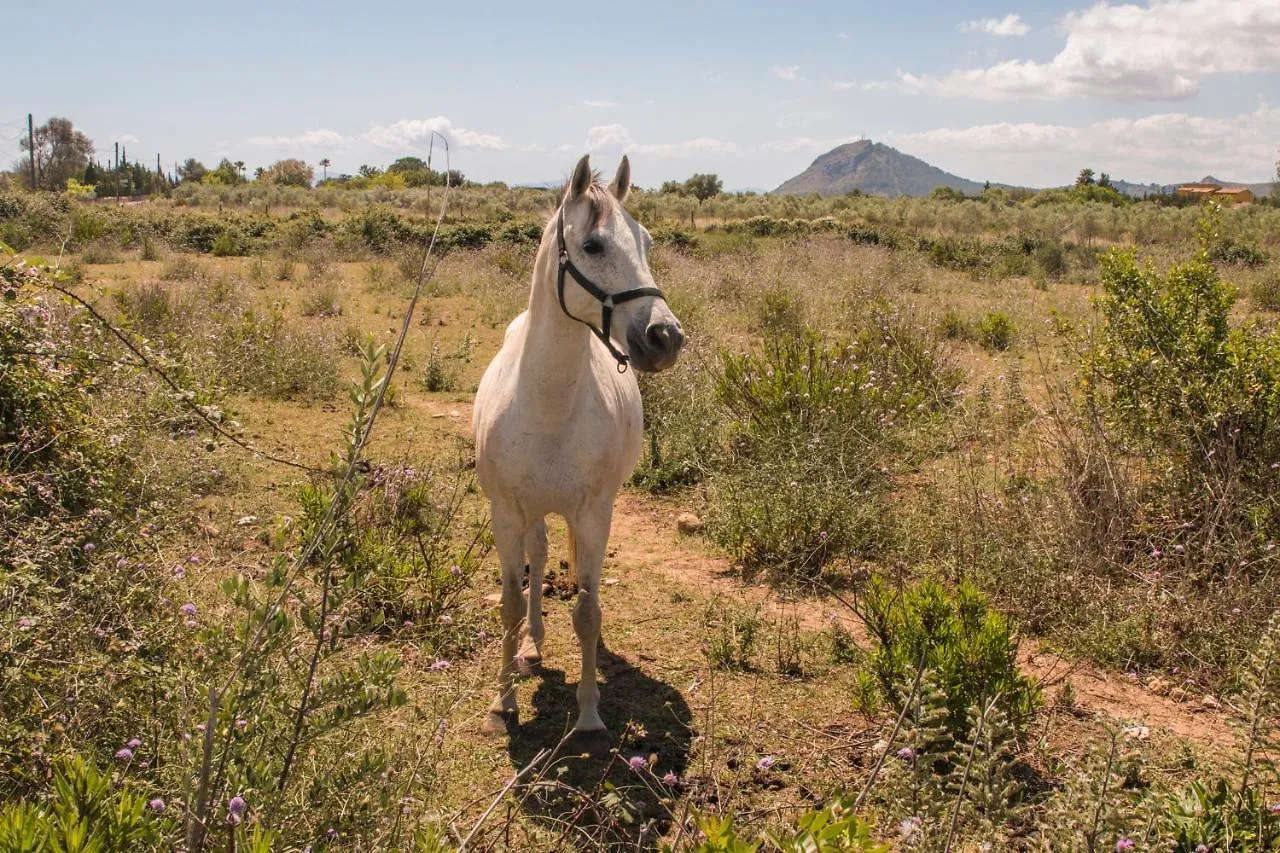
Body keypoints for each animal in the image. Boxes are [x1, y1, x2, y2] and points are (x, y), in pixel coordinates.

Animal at [476, 153, 686, 732]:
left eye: (646, 241)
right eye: (592, 245)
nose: (666, 337)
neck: (548, 406)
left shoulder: (593, 513)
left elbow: (589, 611)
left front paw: (589, 712)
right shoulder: (506, 513)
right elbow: (509, 601)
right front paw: (503, 702)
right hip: (532, 513)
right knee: (540, 555)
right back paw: (531, 645)